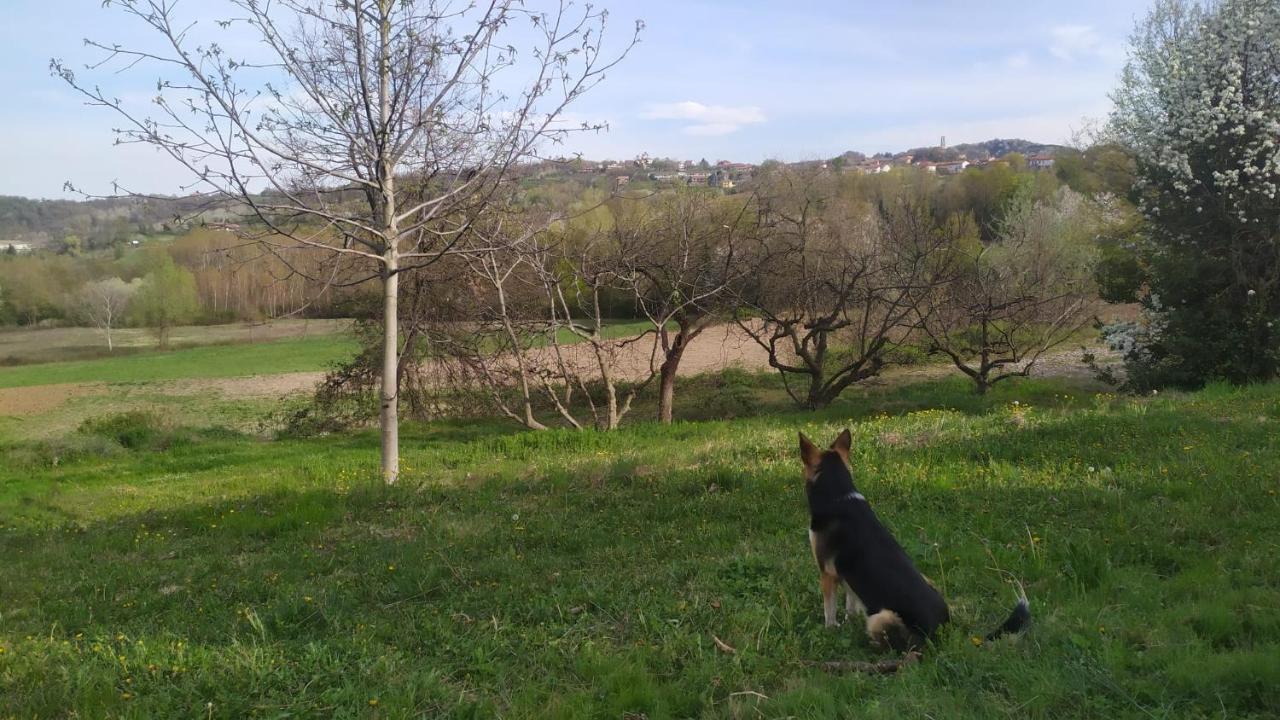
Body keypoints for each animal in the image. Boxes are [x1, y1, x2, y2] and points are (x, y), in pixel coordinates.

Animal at [798, 430, 1029, 650]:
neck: (839, 493)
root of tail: (947, 631)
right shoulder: (848, 577)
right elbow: (850, 605)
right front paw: (848, 623)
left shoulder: (827, 574)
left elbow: (829, 610)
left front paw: (830, 630)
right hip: (927, 580)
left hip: (882, 617)